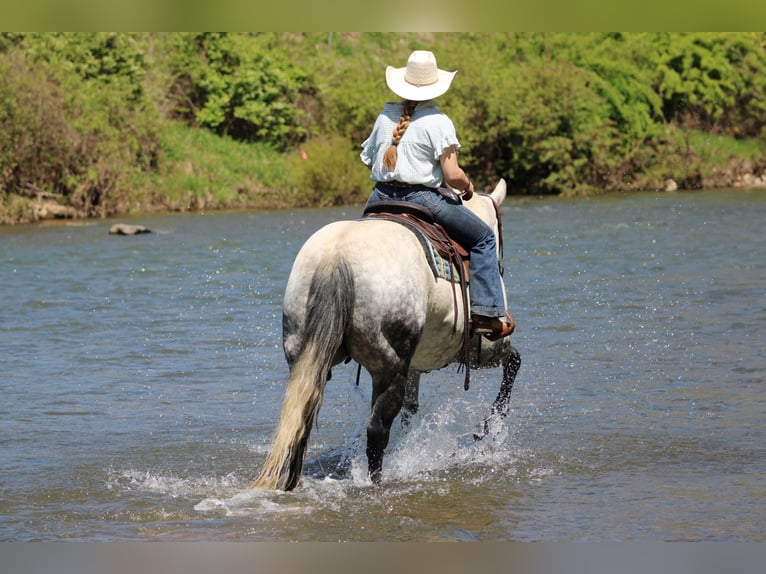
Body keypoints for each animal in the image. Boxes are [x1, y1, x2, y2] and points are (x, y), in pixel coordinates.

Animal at [250, 179, 521, 491]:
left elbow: (411, 411)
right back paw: (377, 480)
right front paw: (489, 427)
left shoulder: (417, 364)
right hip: (389, 367)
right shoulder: (481, 348)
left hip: (305, 354)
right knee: (377, 428)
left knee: (301, 417)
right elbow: (514, 363)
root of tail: (336, 256)